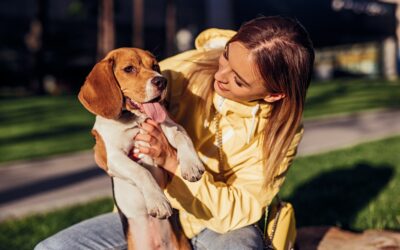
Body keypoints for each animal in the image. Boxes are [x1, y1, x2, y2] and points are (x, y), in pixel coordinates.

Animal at [78, 47, 205, 249]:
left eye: (155, 66)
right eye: (129, 69)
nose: (161, 81)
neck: (135, 120)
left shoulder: (171, 126)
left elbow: (183, 138)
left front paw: (191, 165)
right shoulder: (112, 157)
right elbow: (141, 171)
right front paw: (158, 201)